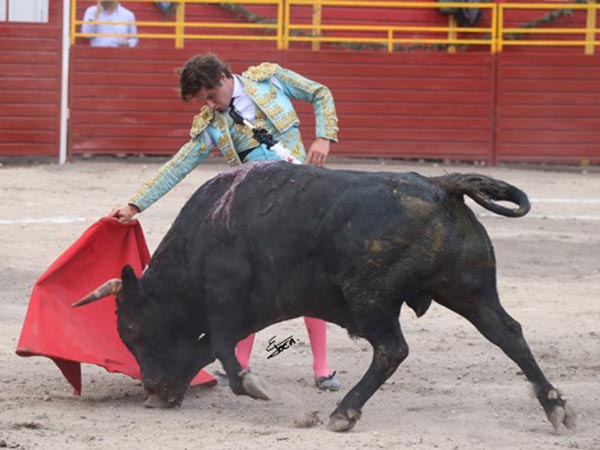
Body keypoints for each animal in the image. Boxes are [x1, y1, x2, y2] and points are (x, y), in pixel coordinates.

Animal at [72, 162, 576, 432]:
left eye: (132, 328)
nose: (150, 385)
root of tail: (440, 185)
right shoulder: (254, 308)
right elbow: (203, 349)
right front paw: (173, 394)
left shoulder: (226, 300)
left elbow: (216, 346)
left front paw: (250, 386)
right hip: (469, 290)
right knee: (508, 334)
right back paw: (557, 409)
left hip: (371, 299)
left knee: (391, 349)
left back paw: (343, 412)